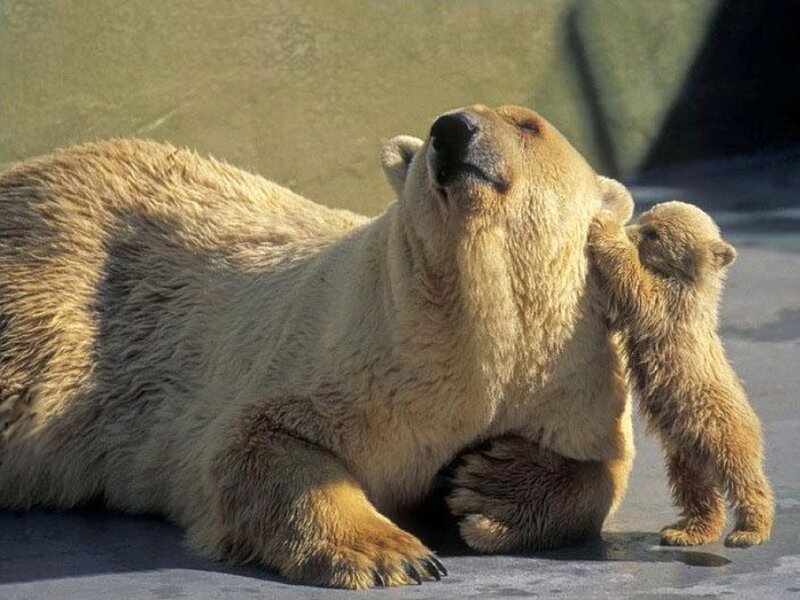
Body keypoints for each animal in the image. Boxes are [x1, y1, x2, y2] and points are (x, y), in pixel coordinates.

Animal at [0, 105, 635, 589]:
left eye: (528, 124)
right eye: (442, 121)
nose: (452, 129)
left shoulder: (568, 372)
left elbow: (603, 470)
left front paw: (487, 486)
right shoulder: (349, 350)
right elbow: (257, 441)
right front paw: (392, 554)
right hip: (47, 313)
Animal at [587, 201, 774, 548]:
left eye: (653, 233)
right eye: (646, 219)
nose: (631, 230)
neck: (689, 281)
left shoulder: (672, 306)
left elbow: (639, 289)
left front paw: (606, 228)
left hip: (720, 426)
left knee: (743, 475)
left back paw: (749, 531)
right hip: (686, 449)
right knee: (694, 487)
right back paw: (684, 531)